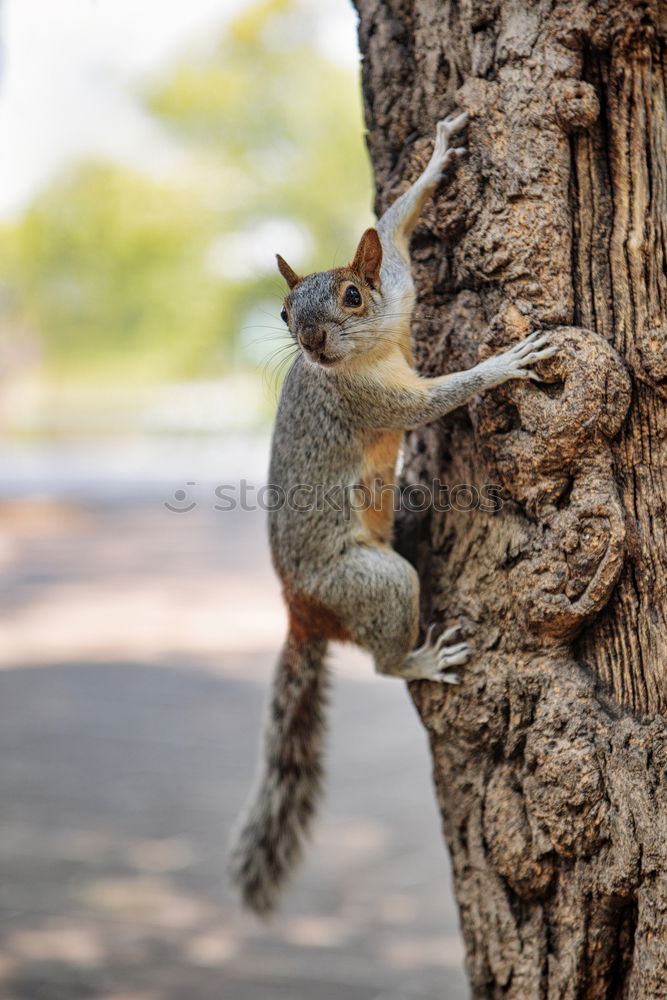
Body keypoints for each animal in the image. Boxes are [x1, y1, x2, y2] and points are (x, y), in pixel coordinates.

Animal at [227, 109, 556, 916]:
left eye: (352, 295)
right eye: (285, 312)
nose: (311, 340)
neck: (368, 351)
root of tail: (300, 609)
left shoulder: (401, 288)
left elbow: (393, 226)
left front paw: (436, 158)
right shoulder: (373, 403)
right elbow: (442, 397)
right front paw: (503, 364)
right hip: (373, 583)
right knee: (381, 662)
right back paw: (421, 658)